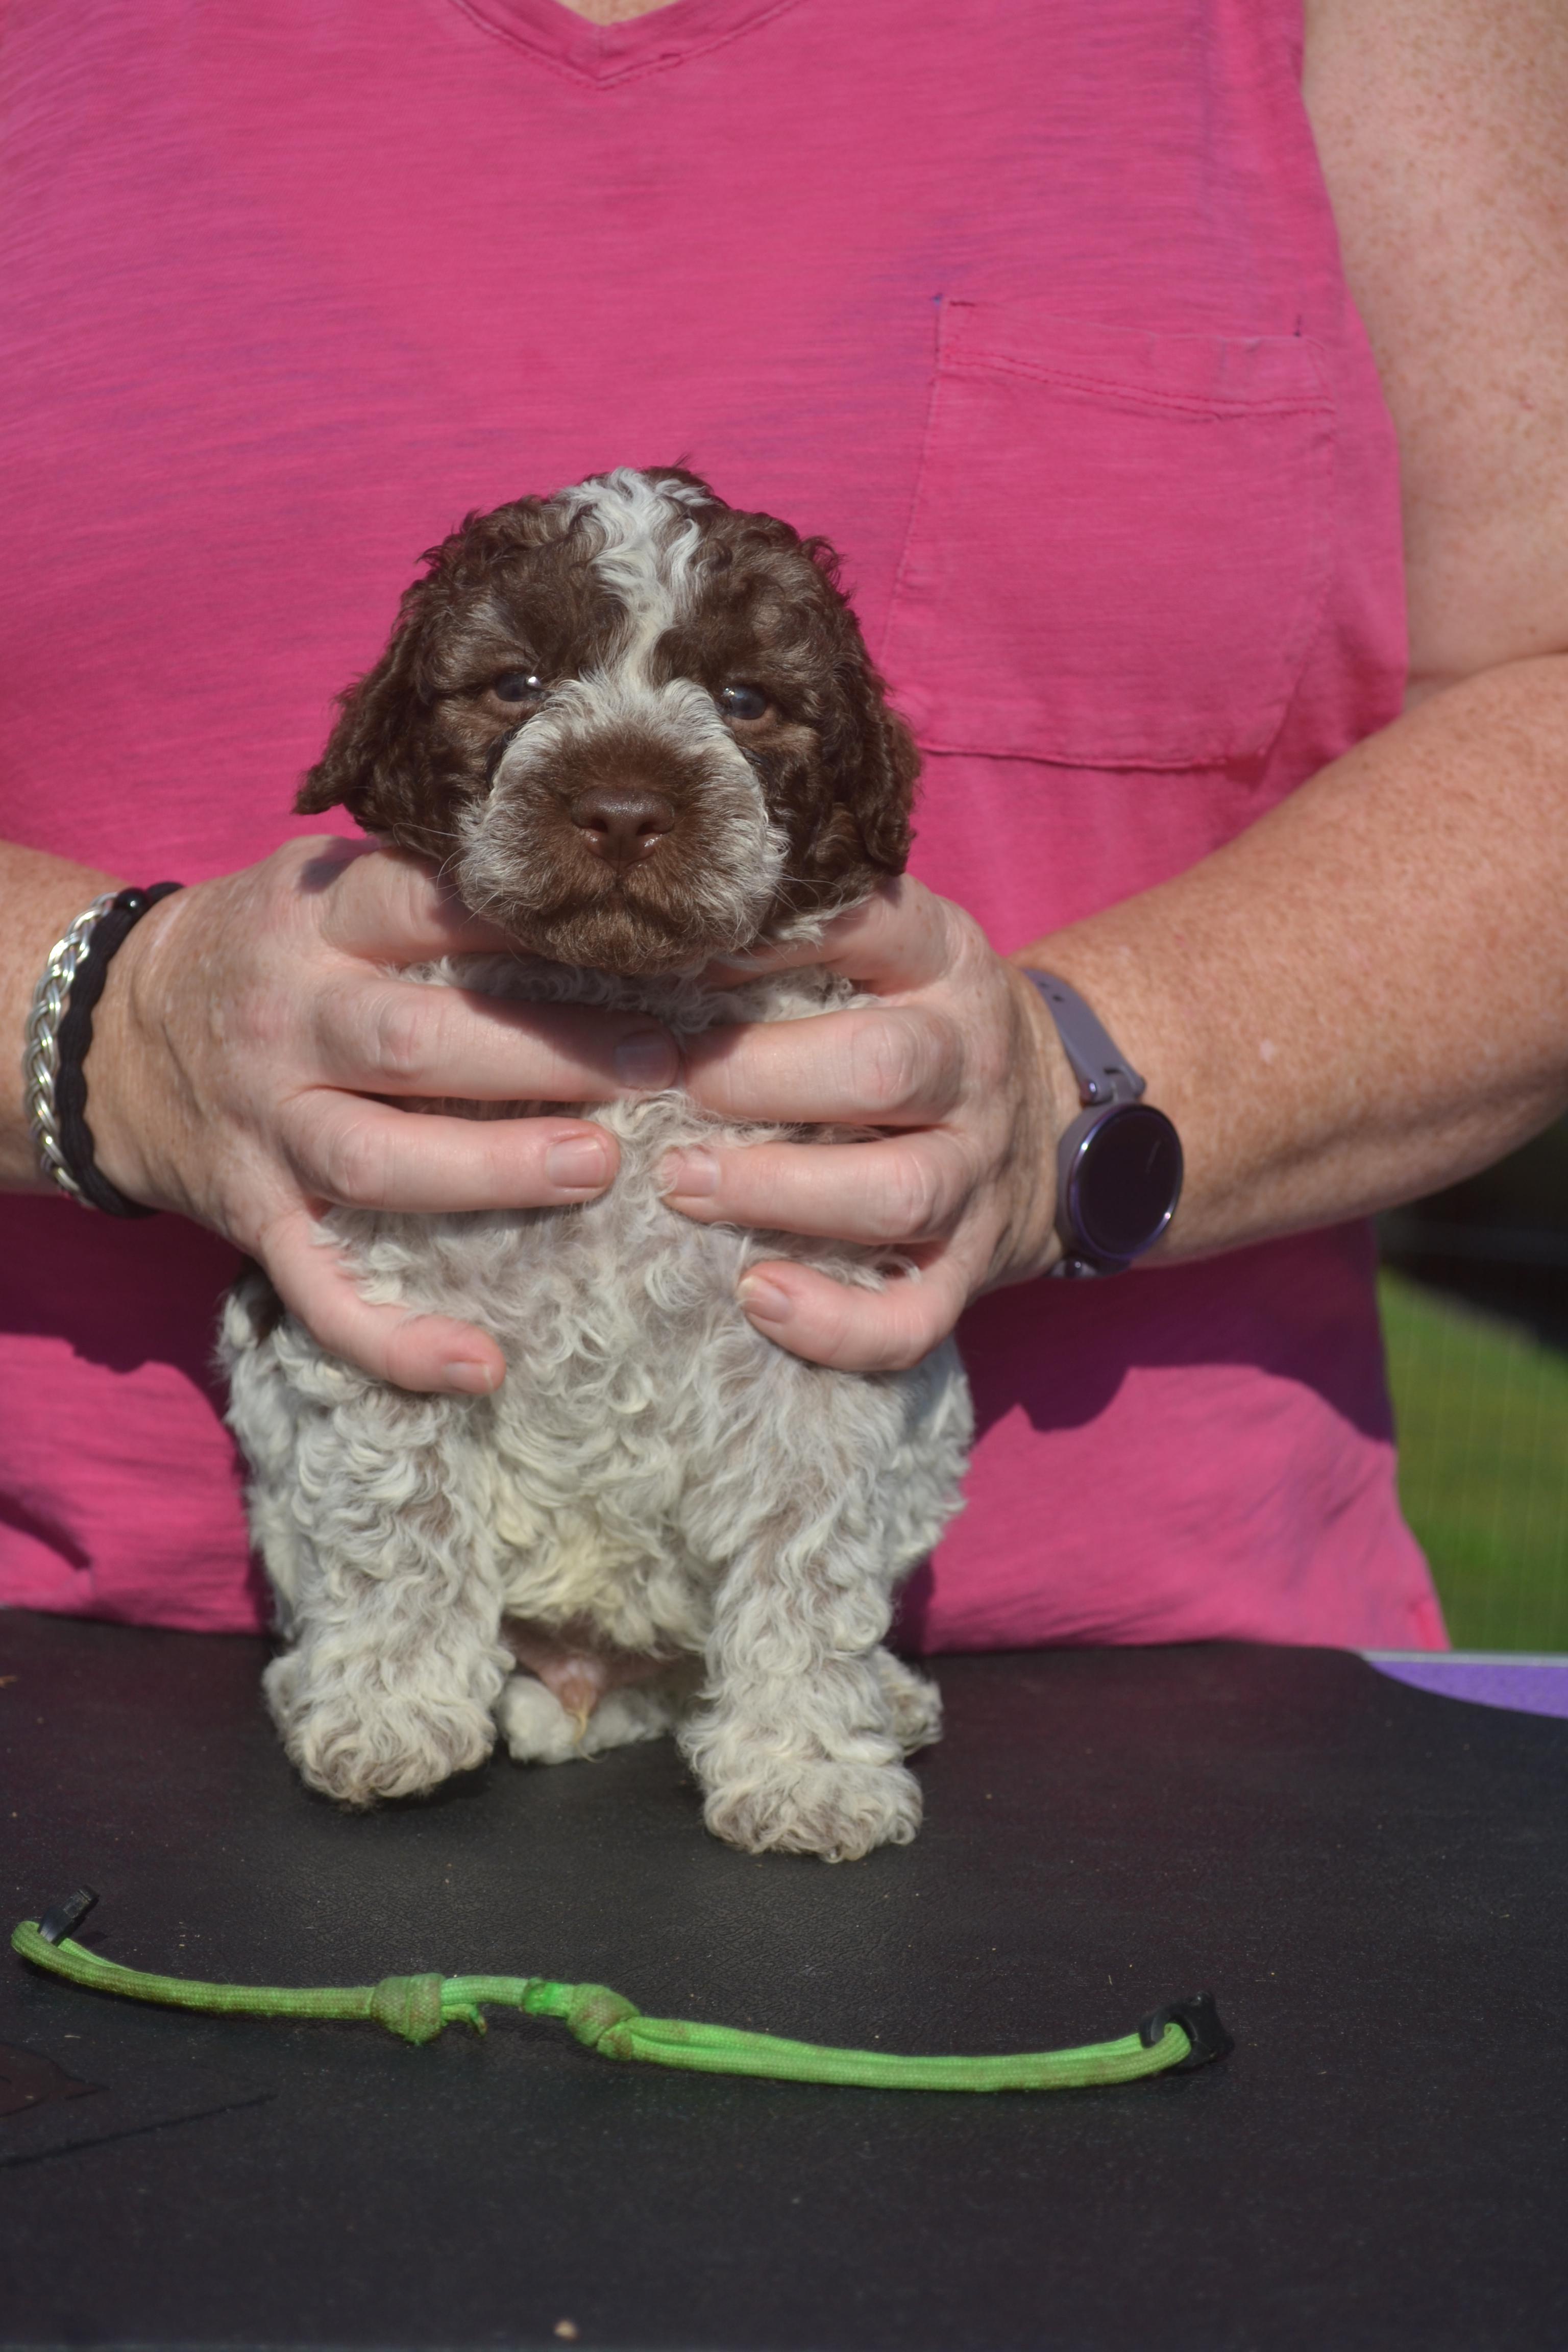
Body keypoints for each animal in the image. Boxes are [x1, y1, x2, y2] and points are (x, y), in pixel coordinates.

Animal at [222, 467, 973, 1861]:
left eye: (746, 699)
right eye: (516, 683)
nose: (624, 810)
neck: (624, 1009)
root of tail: (592, 1676)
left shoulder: (809, 1321)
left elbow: (805, 1555)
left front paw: (805, 1765)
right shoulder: (399, 1300)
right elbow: (403, 1516)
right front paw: (391, 1709)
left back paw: (881, 1702)